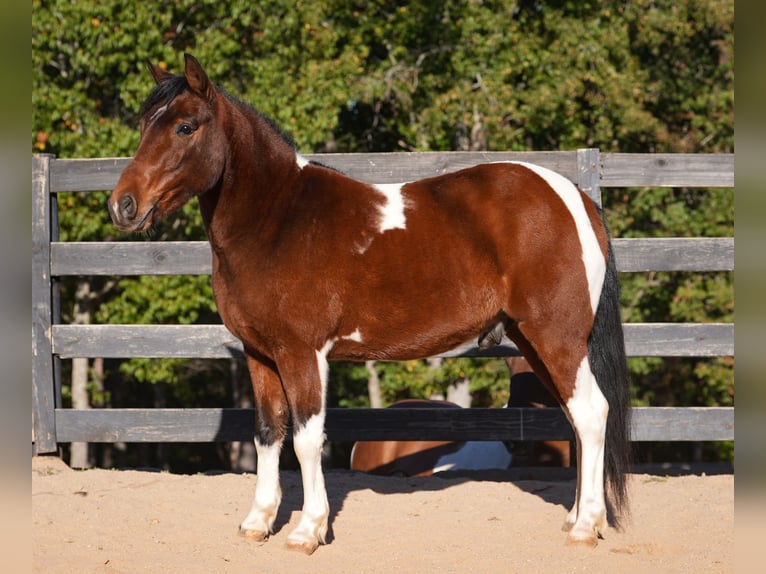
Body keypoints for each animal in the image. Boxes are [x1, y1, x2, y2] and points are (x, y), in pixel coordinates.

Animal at [108, 54, 631, 554]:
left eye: (185, 126)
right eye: (144, 123)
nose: (122, 205)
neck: (279, 221)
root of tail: (575, 199)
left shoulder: (303, 353)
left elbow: (306, 438)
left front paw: (307, 531)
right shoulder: (261, 354)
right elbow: (267, 433)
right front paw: (258, 523)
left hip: (557, 337)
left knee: (591, 414)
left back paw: (585, 527)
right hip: (533, 340)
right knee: (575, 417)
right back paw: (576, 517)